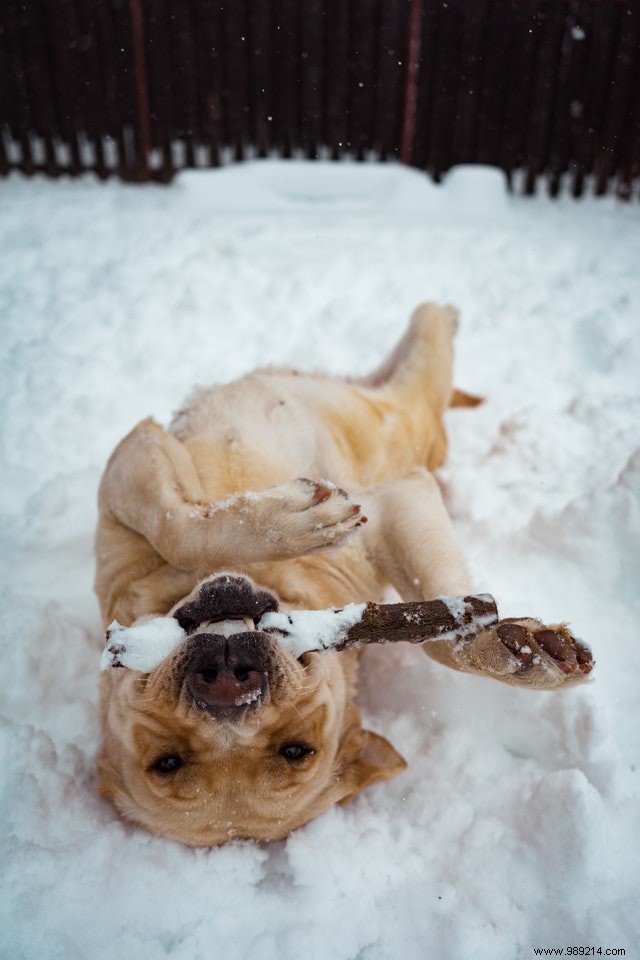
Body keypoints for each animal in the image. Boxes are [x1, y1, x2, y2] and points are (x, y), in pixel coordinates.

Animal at [94, 304, 592, 844]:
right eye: (167, 761)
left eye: (296, 750)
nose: (227, 686)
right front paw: (513, 648)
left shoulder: (134, 456)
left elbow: (176, 527)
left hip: (401, 400)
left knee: (427, 335)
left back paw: (444, 314)